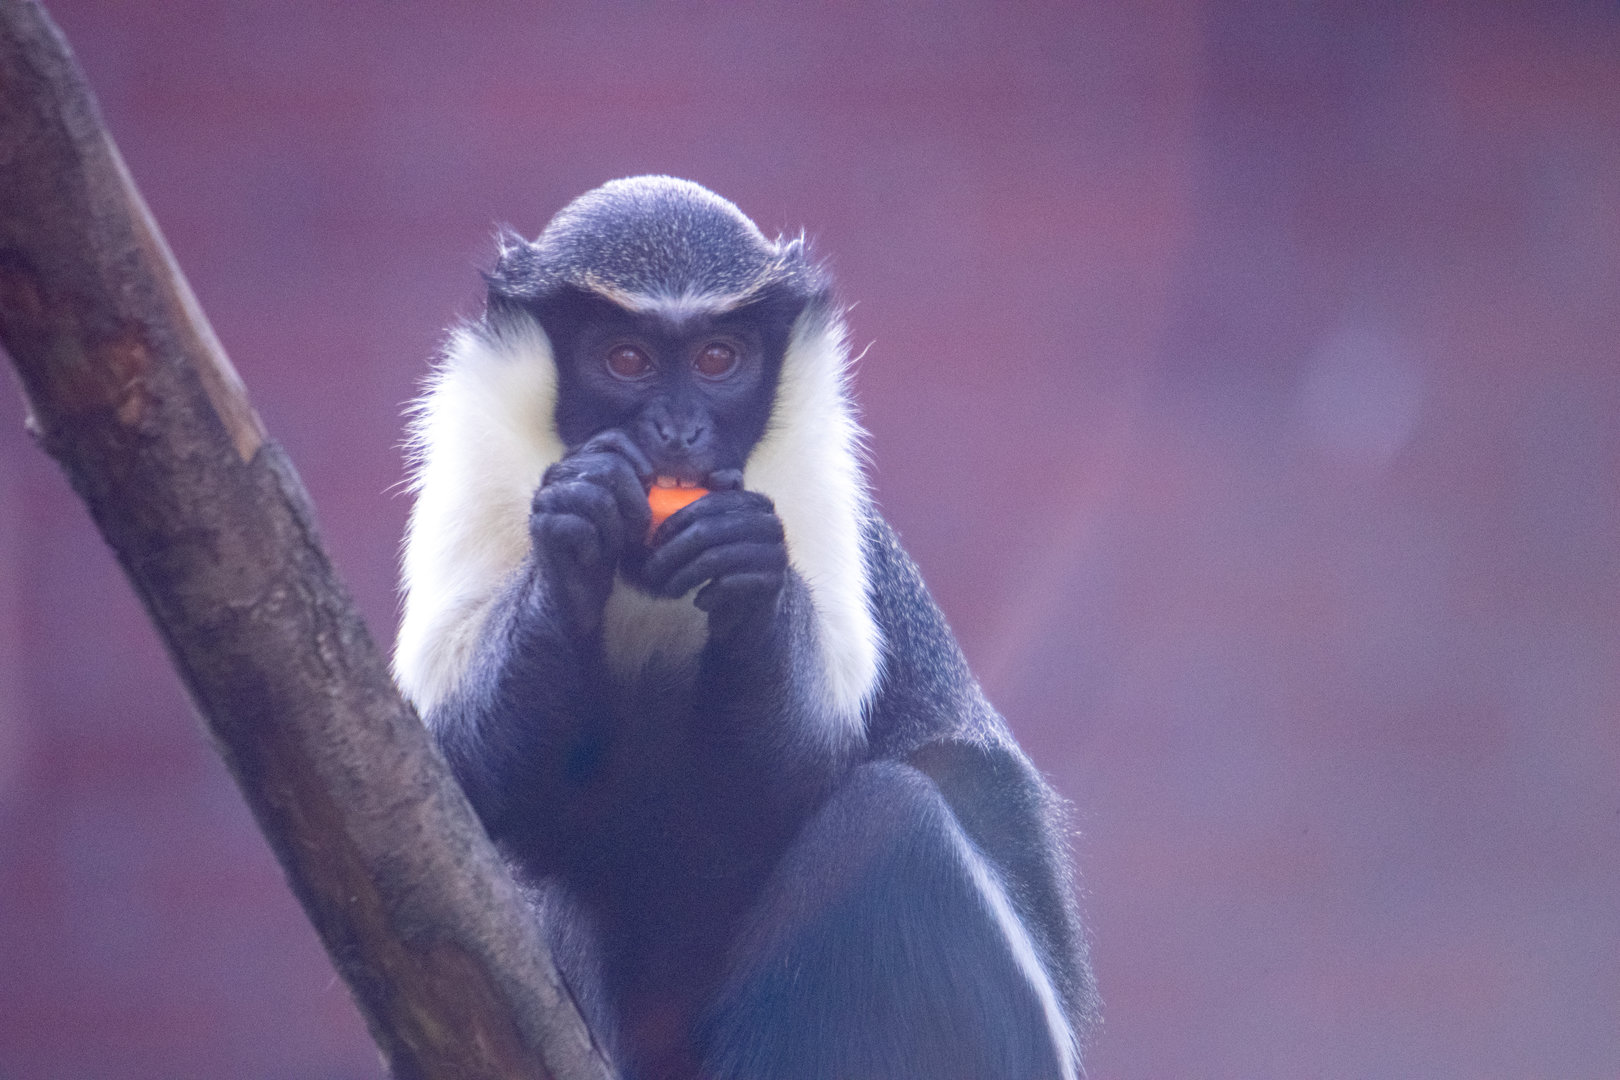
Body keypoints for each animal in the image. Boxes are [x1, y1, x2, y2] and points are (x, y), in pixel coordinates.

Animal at [394, 176, 1096, 1080]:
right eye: (628, 358)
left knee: (889, 824)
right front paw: (575, 537)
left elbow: (788, 780)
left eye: (718, 358)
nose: (678, 433)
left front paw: (748, 573)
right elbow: (469, 779)